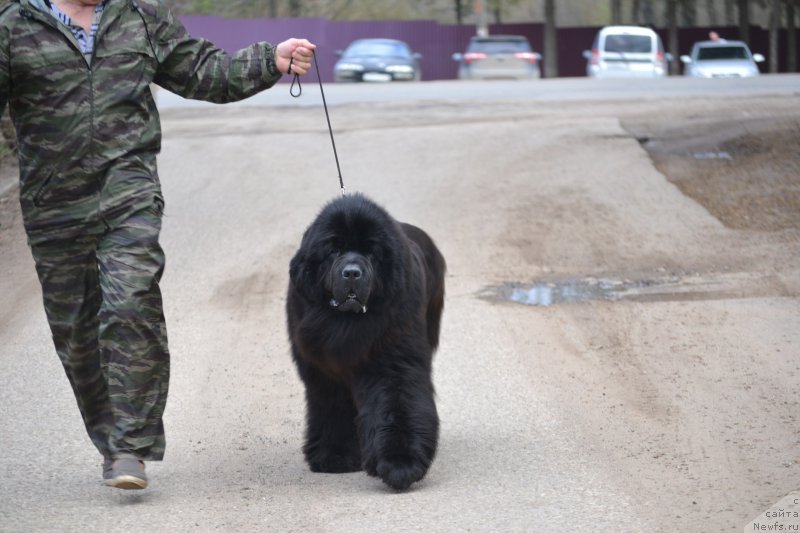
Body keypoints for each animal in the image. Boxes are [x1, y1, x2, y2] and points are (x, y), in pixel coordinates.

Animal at [286, 193, 450, 488]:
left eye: (372, 252)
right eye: (333, 250)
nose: (352, 272)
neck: (346, 322)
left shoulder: (393, 363)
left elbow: (397, 404)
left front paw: (400, 463)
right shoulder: (322, 372)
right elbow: (332, 408)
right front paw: (334, 457)